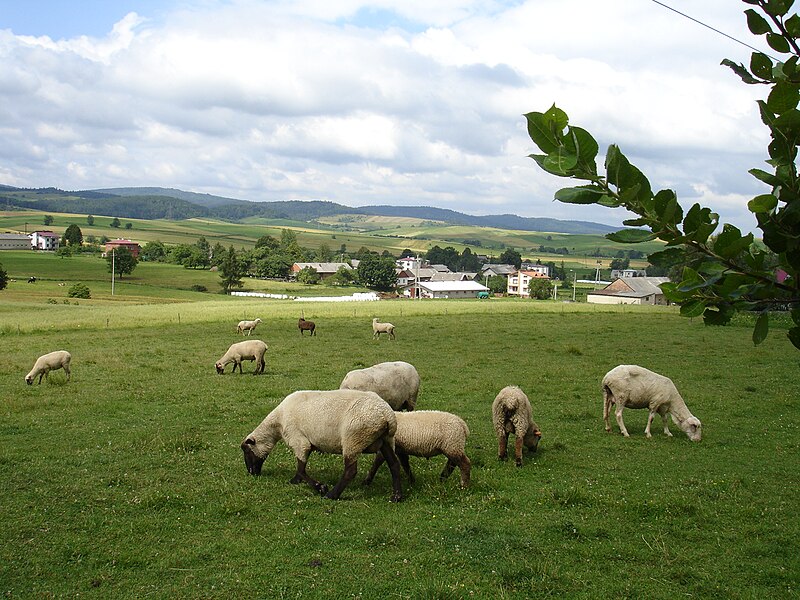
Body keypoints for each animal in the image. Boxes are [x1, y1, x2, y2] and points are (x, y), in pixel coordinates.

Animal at [236, 390, 400, 502]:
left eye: (247, 451)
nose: (251, 472)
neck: (278, 422)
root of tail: (387, 415)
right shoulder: (305, 444)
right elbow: (300, 469)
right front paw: (296, 481)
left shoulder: (299, 441)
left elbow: (301, 469)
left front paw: (320, 487)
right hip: (386, 440)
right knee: (394, 464)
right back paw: (397, 496)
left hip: (353, 439)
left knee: (350, 471)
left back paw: (331, 495)